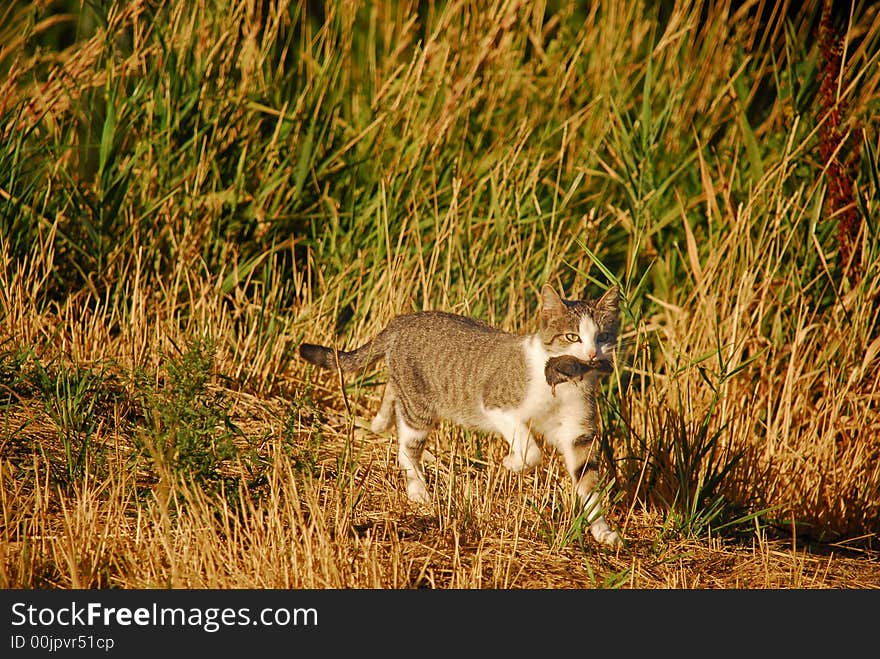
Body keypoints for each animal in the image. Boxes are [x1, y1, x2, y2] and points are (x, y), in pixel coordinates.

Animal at [300, 284, 624, 548]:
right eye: (572, 336)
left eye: (602, 336)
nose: (593, 355)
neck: (566, 385)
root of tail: (402, 319)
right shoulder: (498, 405)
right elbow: (531, 450)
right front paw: (511, 462)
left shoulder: (577, 433)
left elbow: (588, 480)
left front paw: (602, 530)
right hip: (419, 405)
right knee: (406, 448)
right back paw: (418, 490)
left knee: (392, 394)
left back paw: (381, 421)